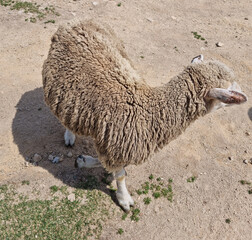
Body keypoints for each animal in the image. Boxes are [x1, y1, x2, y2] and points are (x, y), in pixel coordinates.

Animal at [42, 21, 247, 212]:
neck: (148, 111)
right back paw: (70, 135)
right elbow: (120, 174)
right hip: (57, 87)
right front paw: (124, 199)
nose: (244, 96)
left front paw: (84, 161)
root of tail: (76, 22)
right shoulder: (118, 145)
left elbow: (109, 164)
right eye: (229, 90)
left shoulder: (116, 144)